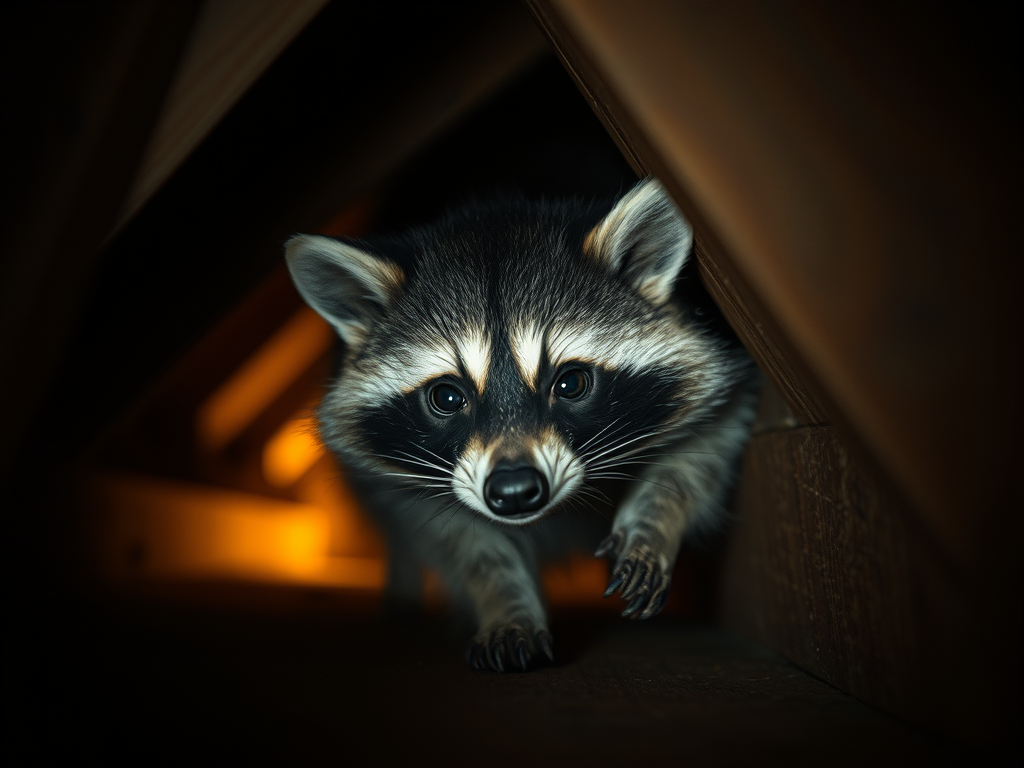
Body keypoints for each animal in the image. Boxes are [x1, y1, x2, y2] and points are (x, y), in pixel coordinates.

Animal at [284, 179, 757, 671]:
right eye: (447, 397)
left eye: (570, 383)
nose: (513, 491)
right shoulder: (404, 484)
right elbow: (463, 543)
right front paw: (505, 603)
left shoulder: (722, 382)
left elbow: (701, 452)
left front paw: (653, 522)